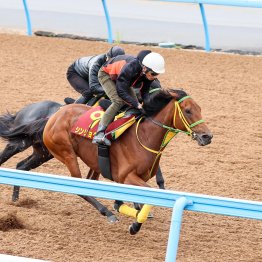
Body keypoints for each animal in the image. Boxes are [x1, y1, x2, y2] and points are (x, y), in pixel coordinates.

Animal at [41, 89, 212, 234]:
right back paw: (108, 213)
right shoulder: (126, 176)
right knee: (79, 187)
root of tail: (56, 115)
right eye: (188, 111)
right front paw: (135, 225)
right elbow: (145, 199)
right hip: (67, 154)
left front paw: (132, 211)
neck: (144, 136)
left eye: (200, 109)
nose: (207, 136)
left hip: (95, 163)